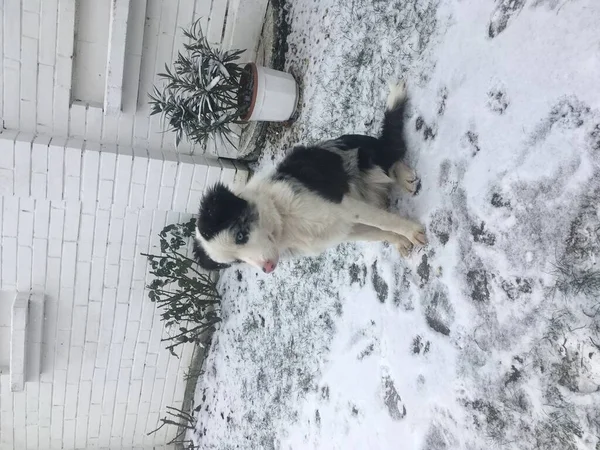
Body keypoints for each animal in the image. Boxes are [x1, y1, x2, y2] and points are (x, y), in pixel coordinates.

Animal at [193, 83, 426, 274]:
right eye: (236, 261)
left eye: (240, 236)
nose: (267, 269)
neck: (282, 219)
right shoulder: (347, 229)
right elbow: (380, 232)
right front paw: (401, 240)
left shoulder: (344, 205)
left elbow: (385, 221)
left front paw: (413, 232)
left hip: (367, 159)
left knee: (391, 156)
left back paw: (404, 177)